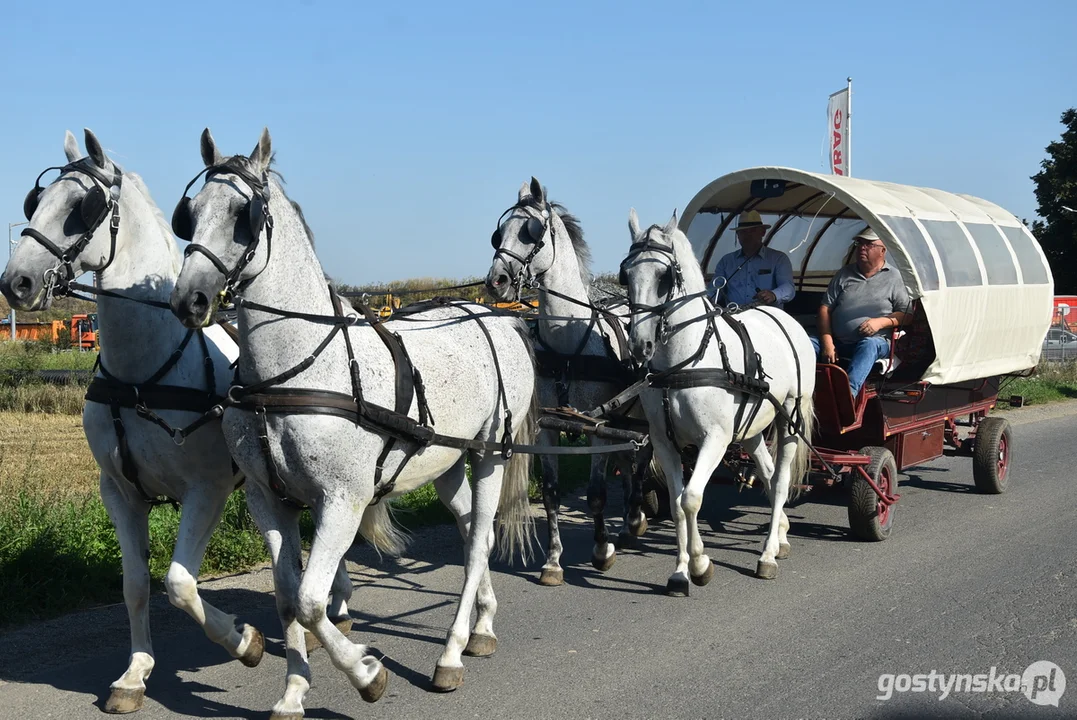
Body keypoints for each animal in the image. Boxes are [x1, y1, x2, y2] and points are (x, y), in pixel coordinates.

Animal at [0, 130, 282, 714]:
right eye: (36, 203)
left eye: (82, 209)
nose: (16, 282)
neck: (142, 374)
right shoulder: (119, 491)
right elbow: (135, 586)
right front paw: (135, 673)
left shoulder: (206, 489)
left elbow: (180, 584)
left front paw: (244, 641)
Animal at [486, 178, 646, 585]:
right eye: (499, 234)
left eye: (532, 232)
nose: (496, 281)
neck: (568, 342)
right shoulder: (547, 427)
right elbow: (553, 494)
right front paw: (553, 562)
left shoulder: (597, 427)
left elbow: (596, 494)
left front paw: (602, 551)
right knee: (629, 456)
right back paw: (631, 521)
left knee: (641, 456)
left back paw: (636, 517)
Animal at [620, 210, 809, 594]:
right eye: (625, 275)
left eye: (664, 277)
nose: (639, 346)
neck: (685, 361)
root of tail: (786, 319)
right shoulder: (664, 442)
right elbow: (677, 504)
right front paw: (680, 572)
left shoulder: (715, 439)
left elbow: (692, 498)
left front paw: (701, 564)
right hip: (751, 427)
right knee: (768, 475)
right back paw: (781, 535)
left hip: (789, 418)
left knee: (781, 480)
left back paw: (768, 554)